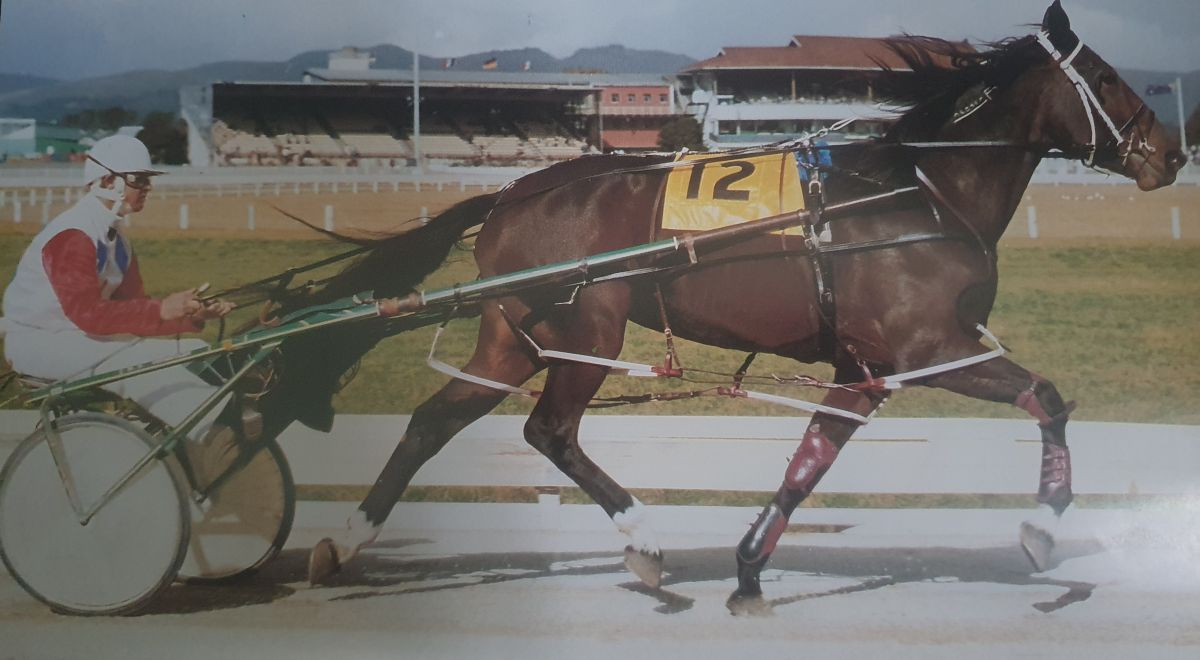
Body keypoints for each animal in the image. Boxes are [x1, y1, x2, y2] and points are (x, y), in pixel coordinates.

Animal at [257, 1, 1182, 609]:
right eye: (1105, 78)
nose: (1170, 153)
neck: (918, 191)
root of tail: (514, 192)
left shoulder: (865, 371)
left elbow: (809, 465)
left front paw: (747, 572)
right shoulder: (931, 348)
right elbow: (1048, 399)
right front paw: (1042, 527)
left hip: (513, 337)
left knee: (430, 421)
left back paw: (346, 543)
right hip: (589, 326)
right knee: (548, 432)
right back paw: (645, 546)